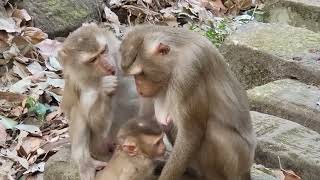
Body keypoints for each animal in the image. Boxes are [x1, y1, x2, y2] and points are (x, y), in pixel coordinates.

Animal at [120, 24, 258, 180]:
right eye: (135, 76)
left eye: (141, 74)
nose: (139, 88)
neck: (176, 56)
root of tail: (247, 170)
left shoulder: (188, 73)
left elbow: (191, 133)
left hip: (238, 160)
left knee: (213, 132)